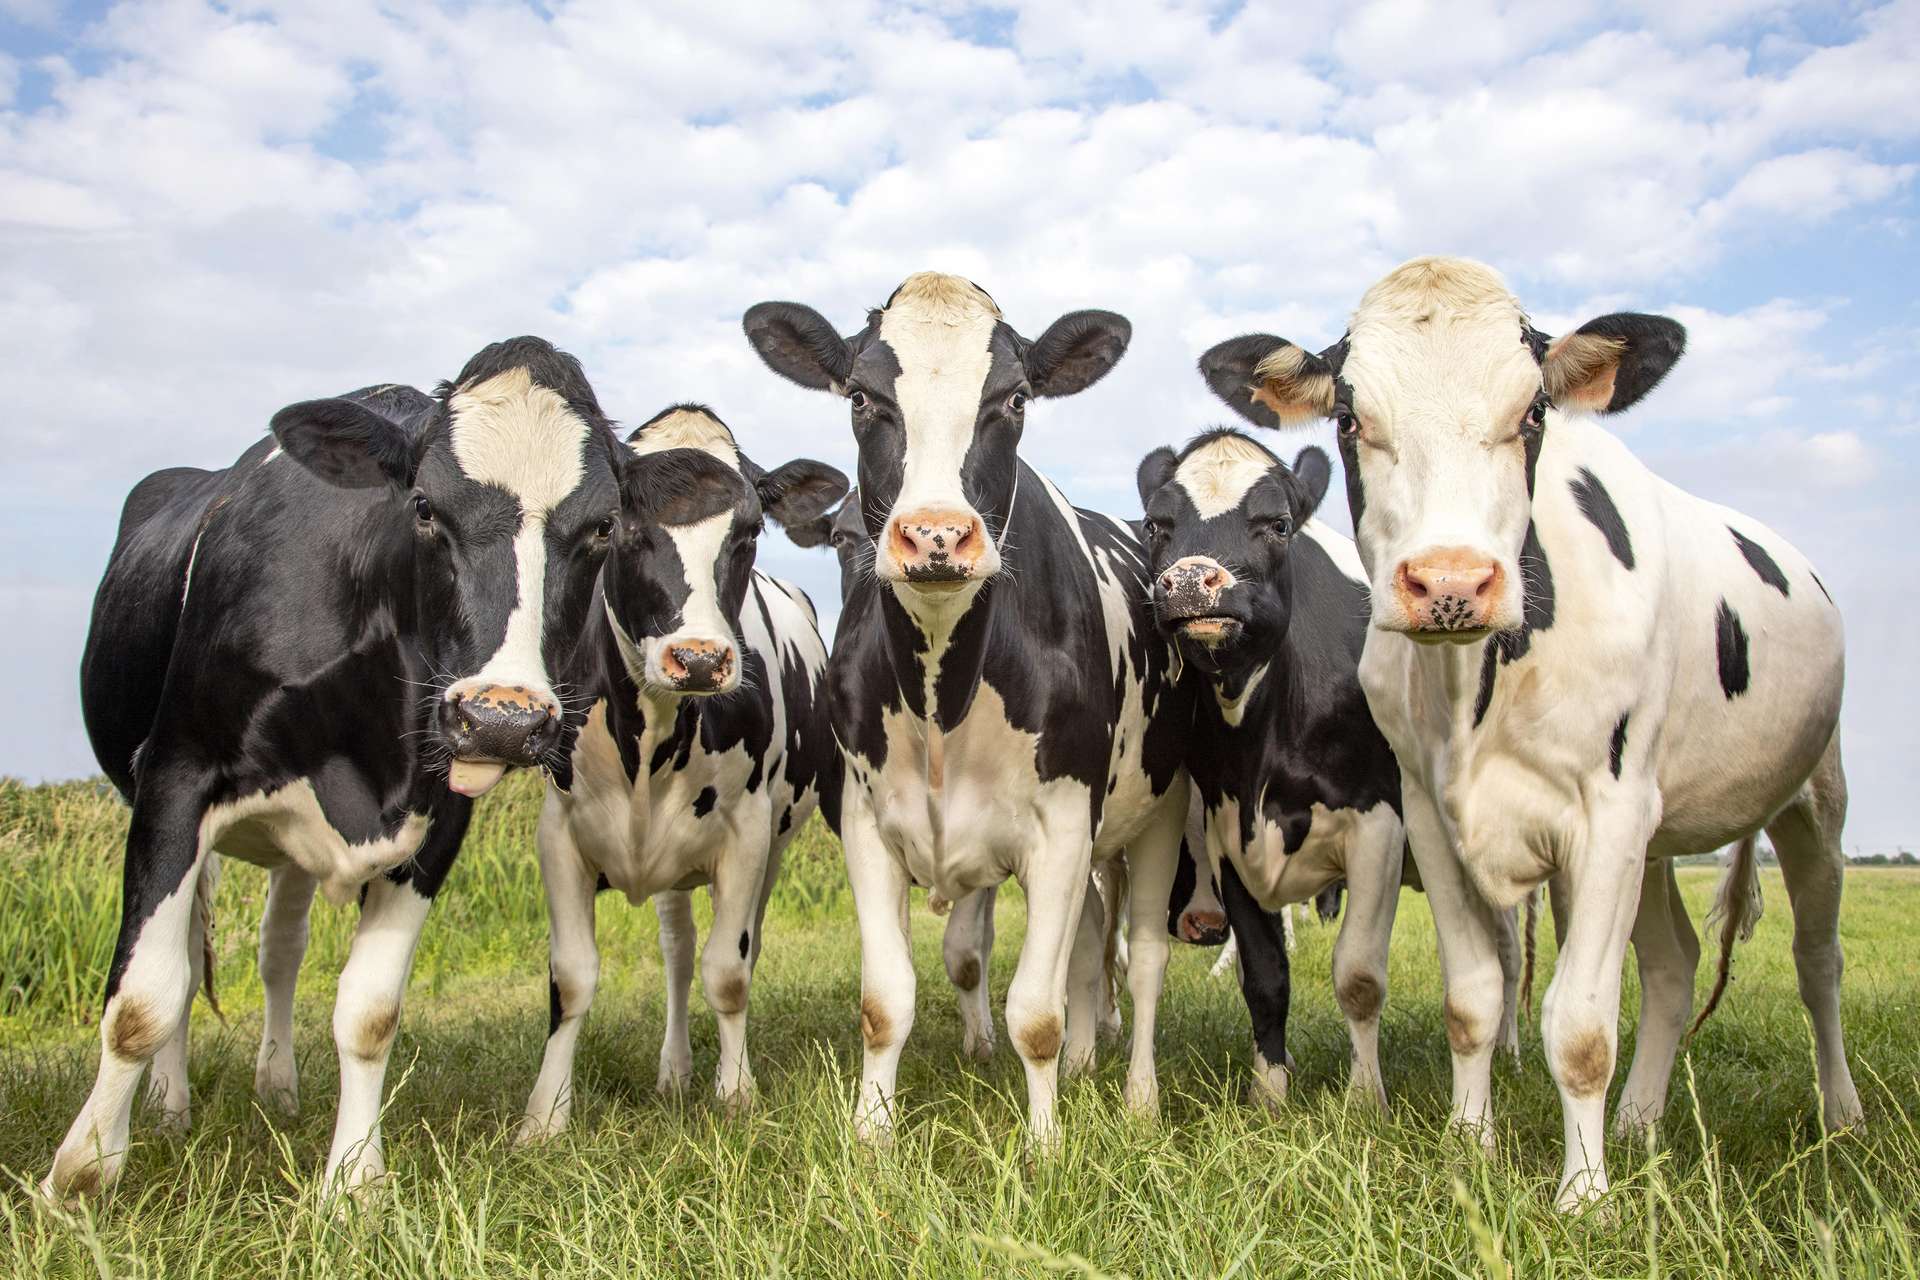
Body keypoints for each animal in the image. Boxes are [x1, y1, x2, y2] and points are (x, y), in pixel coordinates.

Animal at [46, 339, 629, 1205]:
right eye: (423, 507)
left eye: (602, 526)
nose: (503, 718)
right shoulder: (175, 777)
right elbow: (141, 997)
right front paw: (81, 1174)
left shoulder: (436, 816)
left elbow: (370, 1010)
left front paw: (353, 1181)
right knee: (186, 956)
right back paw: (170, 1106)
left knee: (277, 951)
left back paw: (279, 1088)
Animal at [514, 404, 844, 1136]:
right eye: (616, 525)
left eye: (750, 531)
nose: (697, 660)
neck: (650, 742)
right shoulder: (559, 832)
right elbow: (571, 976)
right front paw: (544, 1115)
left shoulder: (748, 832)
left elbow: (729, 969)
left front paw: (737, 1092)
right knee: (676, 954)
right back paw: (673, 1070)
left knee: (730, 946)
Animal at [741, 270, 1190, 1143]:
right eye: (860, 396)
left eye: (1013, 399)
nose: (937, 536)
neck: (941, 694)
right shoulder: (865, 822)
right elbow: (887, 1001)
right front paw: (871, 1136)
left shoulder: (1063, 826)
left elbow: (1037, 1013)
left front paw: (1047, 1146)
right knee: (1091, 941)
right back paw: (1086, 1063)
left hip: (1160, 809)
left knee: (1144, 958)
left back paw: (1140, 1096)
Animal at [1128, 433, 1405, 1113]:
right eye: (1156, 525)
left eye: (1277, 524)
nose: (1189, 581)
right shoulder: (1231, 835)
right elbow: (1265, 975)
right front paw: (1270, 1091)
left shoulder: (1379, 824)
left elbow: (1359, 973)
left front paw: (1366, 1102)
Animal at [1198, 257, 1858, 1212]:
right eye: (1352, 418)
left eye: (1534, 413)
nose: (1450, 582)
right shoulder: (1431, 814)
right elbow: (1472, 997)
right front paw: (1468, 1145)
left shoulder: (1608, 815)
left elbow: (1580, 1026)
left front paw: (1584, 1197)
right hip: (1660, 837)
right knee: (1673, 967)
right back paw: (1641, 1120)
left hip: (1814, 803)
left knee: (1817, 959)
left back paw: (1839, 1113)